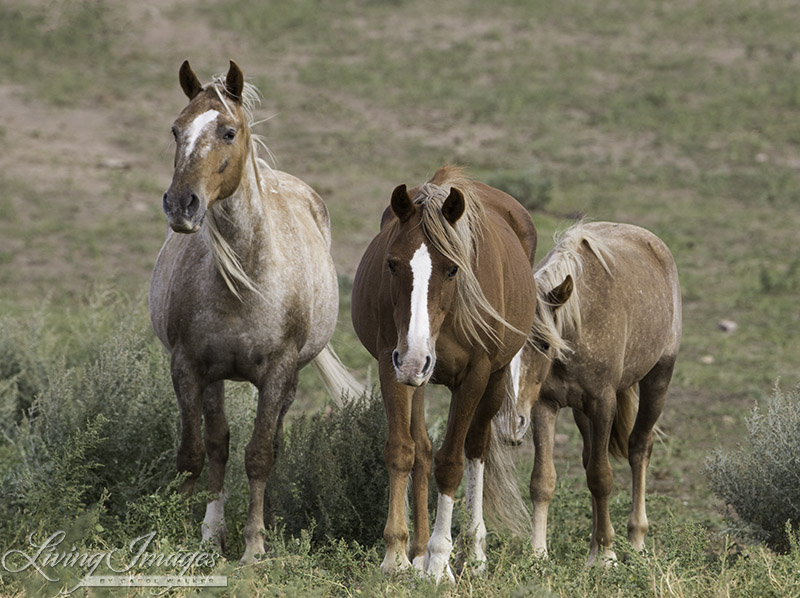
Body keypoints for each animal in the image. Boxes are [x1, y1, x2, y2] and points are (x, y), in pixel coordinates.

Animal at [150, 62, 362, 568]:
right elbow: (194, 452)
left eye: (229, 132)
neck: (244, 281)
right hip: (214, 378)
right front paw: (182, 533)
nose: (181, 204)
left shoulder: (278, 371)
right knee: (217, 444)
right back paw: (212, 533)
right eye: (176, 130)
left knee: (268, 444)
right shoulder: (189, 366)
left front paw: (254, 544)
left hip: (289, 379)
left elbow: (260, 454)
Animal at [352, 166, 536, 584]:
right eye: (392, 263)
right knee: (422, 449)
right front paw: (398, 556)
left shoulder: (474, 376)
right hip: (416, 377)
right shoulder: (393, 365)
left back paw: (473, 552)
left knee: (476, 449)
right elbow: (403, 451)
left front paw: (439, 561)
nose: (415, 357)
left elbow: (451, 463)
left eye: (453, 268)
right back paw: (418, 552)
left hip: (493, 379)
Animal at [500, 224, 680, 568]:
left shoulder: (602, 403)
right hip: (581, 412)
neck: (578, 325)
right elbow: (543, 480)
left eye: (543, 344)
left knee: (640, 447)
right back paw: (595, 544)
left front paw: (608, 556)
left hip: (659, 378)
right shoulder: (544, 406)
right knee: (589, 458)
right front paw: (538, 553)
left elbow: (601, 477)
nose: (510, 425)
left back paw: (636, 540)